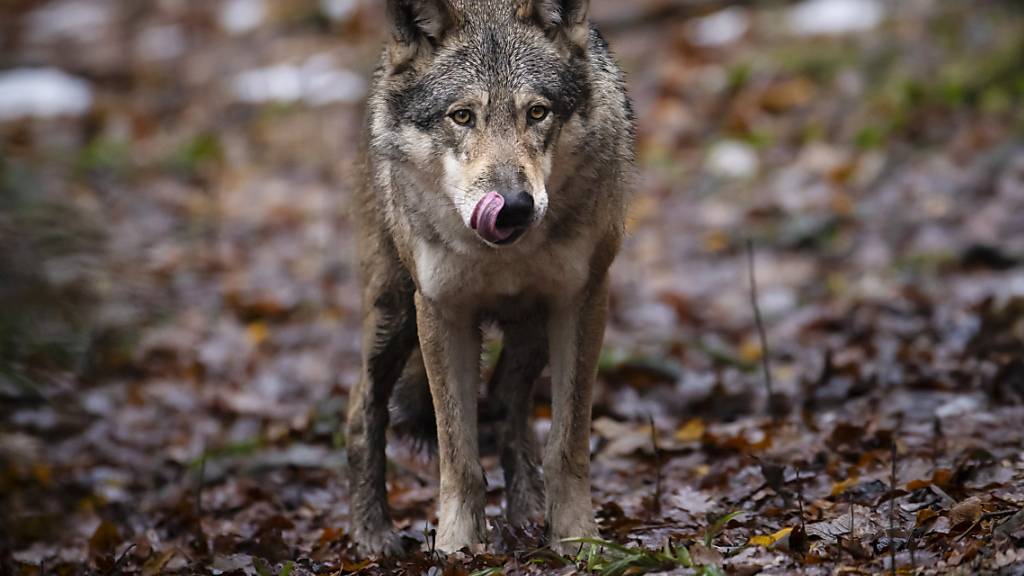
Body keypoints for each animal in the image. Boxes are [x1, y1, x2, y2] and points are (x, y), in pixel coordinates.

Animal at [344, 0, 630, 557]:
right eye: (462, 116)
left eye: (537, 112)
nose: (514, 206)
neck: (503, 256)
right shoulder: (441, 312)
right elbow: (458, 455)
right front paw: (457, 548)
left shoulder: (582, 300)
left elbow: (567, 443)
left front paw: (576, 538)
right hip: (394, 313)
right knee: (361, 408)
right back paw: (373, 535)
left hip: (531, 329)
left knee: (506, 402)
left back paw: (527, 513)